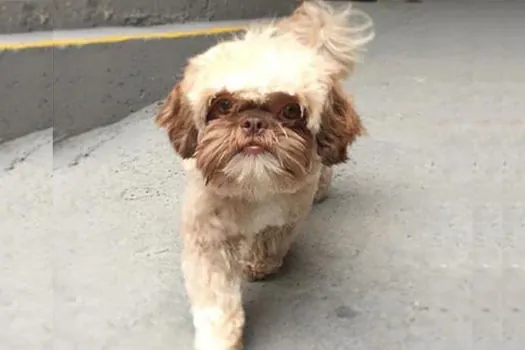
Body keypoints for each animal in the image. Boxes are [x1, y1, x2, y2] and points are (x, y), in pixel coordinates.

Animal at [156, 1, 372, 348]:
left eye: (291, 110)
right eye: (223, 104)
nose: (254, 122)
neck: (252, 187)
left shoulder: (284, 218)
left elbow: (269, 241)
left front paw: (259, 263)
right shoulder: (209, 237)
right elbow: (217, 299)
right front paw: (219, 338)